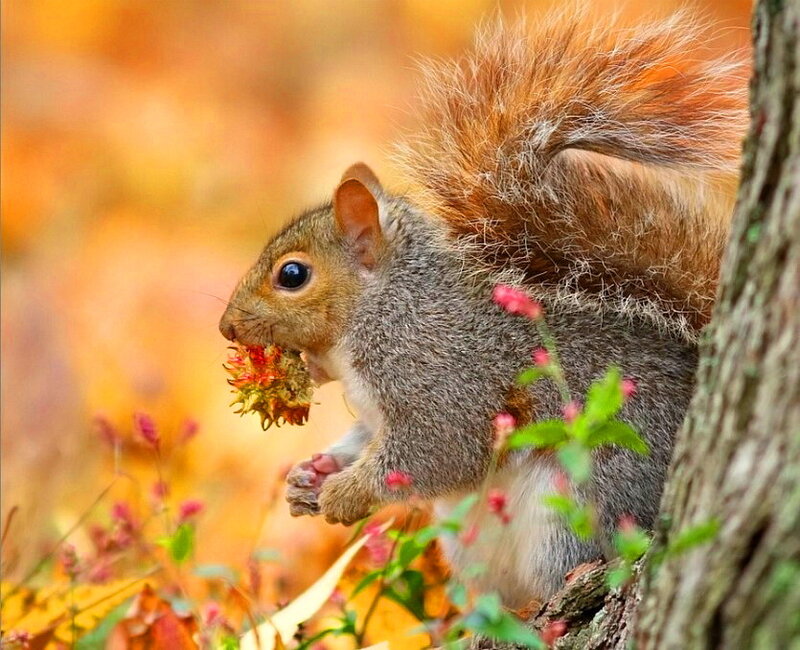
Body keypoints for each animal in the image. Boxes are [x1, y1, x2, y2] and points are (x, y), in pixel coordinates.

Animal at [219, 11, 746, 608]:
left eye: (292, 275)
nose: (226, 327)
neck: (386, 308)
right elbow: (362, 440)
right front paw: (311, 475)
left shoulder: (443, 377)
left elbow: (436, 449)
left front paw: (345, 494)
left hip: (581, 500)